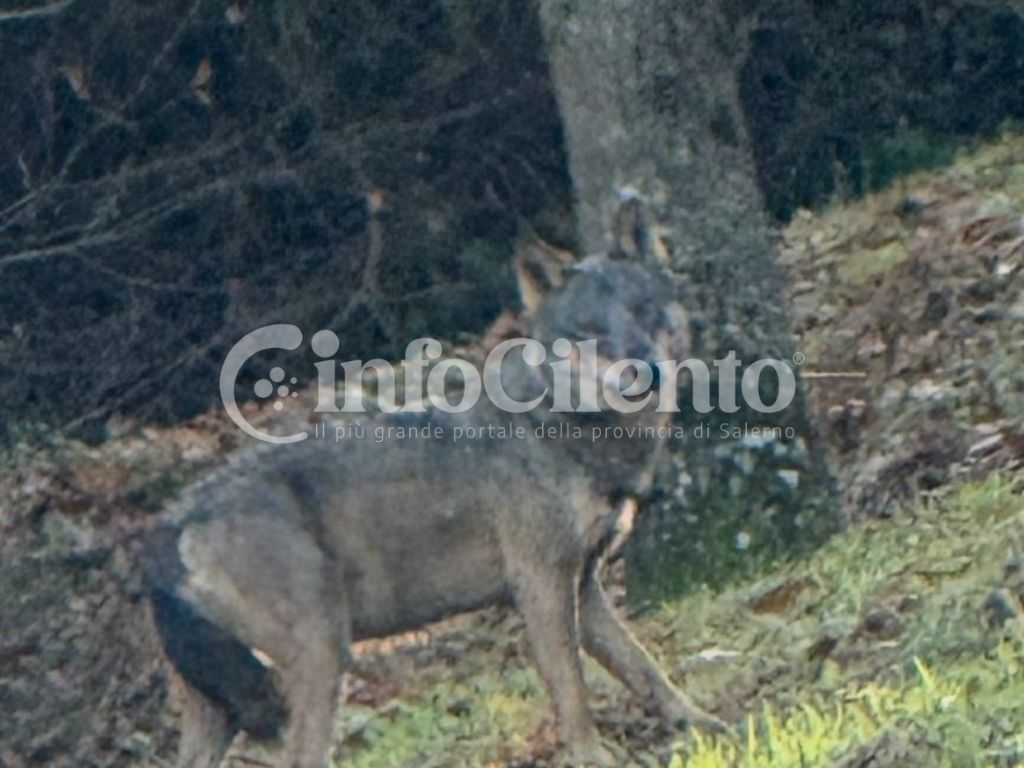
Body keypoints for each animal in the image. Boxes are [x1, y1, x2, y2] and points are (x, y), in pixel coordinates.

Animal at [145, 221, 726, 768]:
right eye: (590, 334)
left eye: (644, 311)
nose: (645, 371)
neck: (561, 427)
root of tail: (171, 525)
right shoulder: (541, 585)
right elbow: (573, 690)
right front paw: (592, 756)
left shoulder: (586, 587)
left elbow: (644, 666)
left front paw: (701, 723)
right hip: (320, 657)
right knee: (303, 756)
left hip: (222, 705)